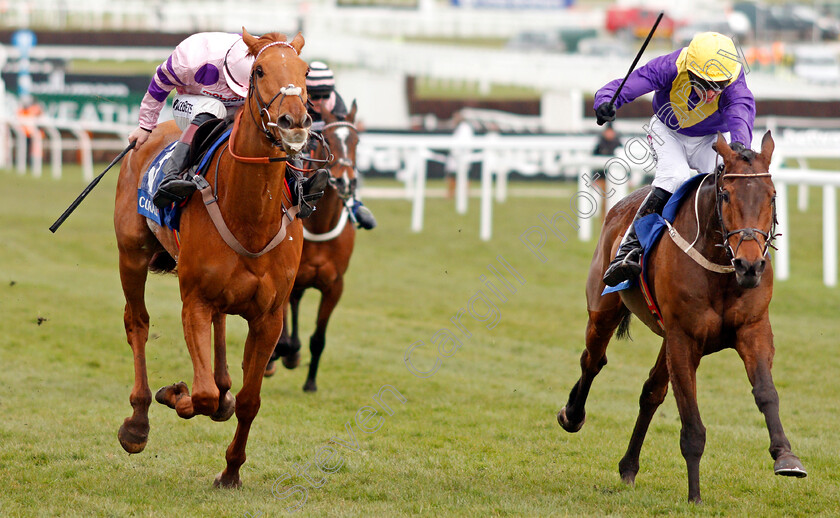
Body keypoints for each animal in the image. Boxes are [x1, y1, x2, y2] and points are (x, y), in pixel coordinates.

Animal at [111, 29, 308, 492]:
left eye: (306, 71)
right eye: (260, 71)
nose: (294, 121)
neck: (250, 215)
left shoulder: (270, 316)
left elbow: (250, 401)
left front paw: (231, 471)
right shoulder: (194, 301)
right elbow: (198, 394)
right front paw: (174, 393)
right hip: (132, 255)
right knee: (137, 324)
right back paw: (138, 422)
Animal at [266, 101, 360, 394]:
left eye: (357, 141)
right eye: (328, 139)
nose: (345, 182)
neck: (320, 225)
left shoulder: (334, 285)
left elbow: (318, 338)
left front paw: (310, 383)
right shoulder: (285, 278)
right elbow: (283, 334)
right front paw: (283, 355)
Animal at [556, 133, 808, 504]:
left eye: (772, 195)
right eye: (725, 195)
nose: (749, 265)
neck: (721, 268)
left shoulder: (753, 329)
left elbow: (766, 392)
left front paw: (786, 456)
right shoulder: (684, 338)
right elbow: (691, 420)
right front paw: (695, 495)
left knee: (651, 391)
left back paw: (628, 467)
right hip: (604, 309)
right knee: (593, 360)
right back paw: (572, 415)